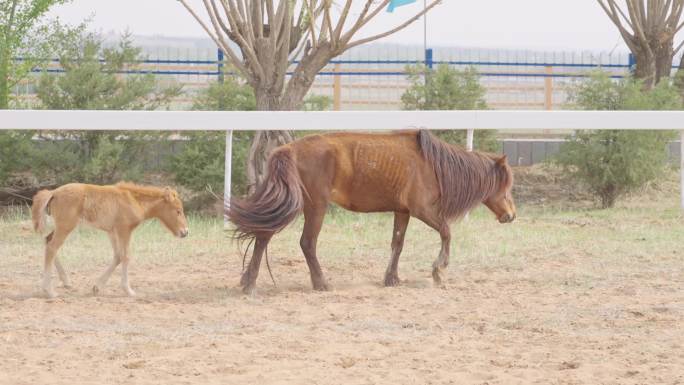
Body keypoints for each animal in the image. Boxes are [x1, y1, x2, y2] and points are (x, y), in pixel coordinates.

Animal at [31, 182, 188, 296]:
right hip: (66, 226)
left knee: (48, 241)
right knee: (52, 247)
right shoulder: (124, 230)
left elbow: (118, 256)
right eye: (178, 211)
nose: (185, 232)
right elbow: (126, 256)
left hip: (63, 227)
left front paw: (97, 287)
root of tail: (53, 192)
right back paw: (49, 291)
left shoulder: (112, 232)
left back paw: (66, 281)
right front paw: (128, 290)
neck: (133, 200)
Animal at [227, 130, 516, 294]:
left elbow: (397, 244)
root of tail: (289, 149)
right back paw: (320, 284)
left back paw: (248, 282)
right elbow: (446, 231)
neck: (431, 164)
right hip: (315, 206)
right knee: (307, 243)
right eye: (505, 185)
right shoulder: (422, 210)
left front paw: (392, 278)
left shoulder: (403, 211)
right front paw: (438, 271)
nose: (511, 215)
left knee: (263, 236)